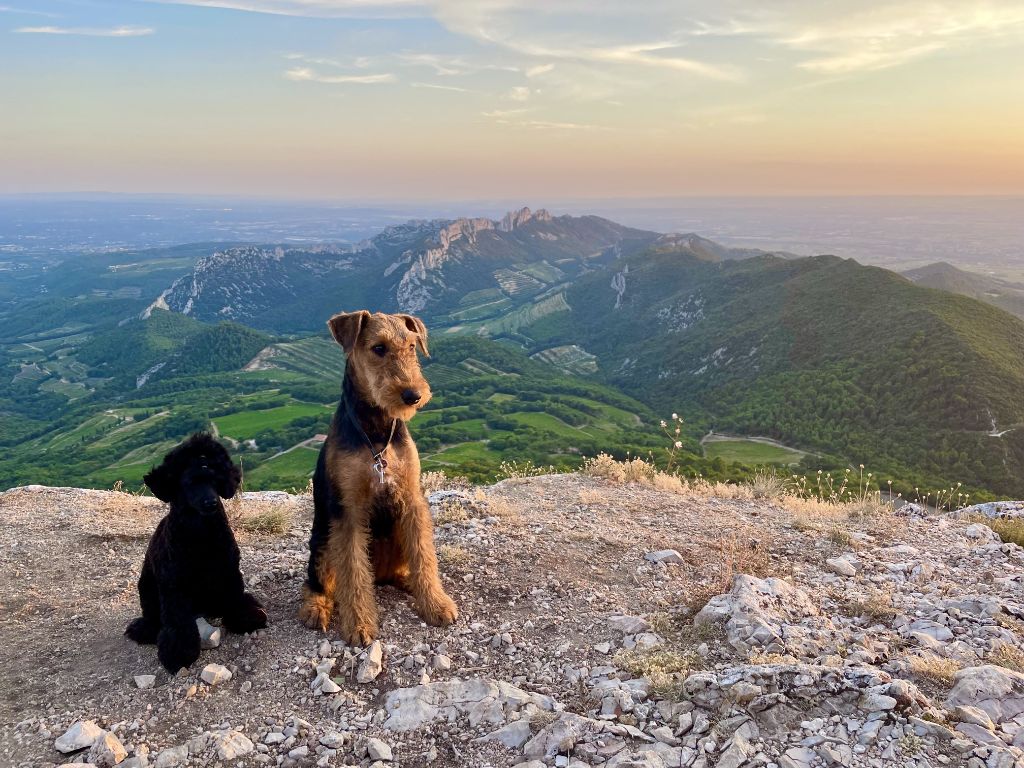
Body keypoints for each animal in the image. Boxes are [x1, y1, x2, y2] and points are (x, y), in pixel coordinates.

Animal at [124, 434, 270, 671]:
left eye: (214, 480)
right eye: (188, 484)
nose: (211, 502)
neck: (202, 533)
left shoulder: (228, 571)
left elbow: (235, 596)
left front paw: (245, 618)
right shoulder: (174, 587)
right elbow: (178, 620)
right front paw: (179, 653)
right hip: (147, 588)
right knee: (153, 616)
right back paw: (145, 628)